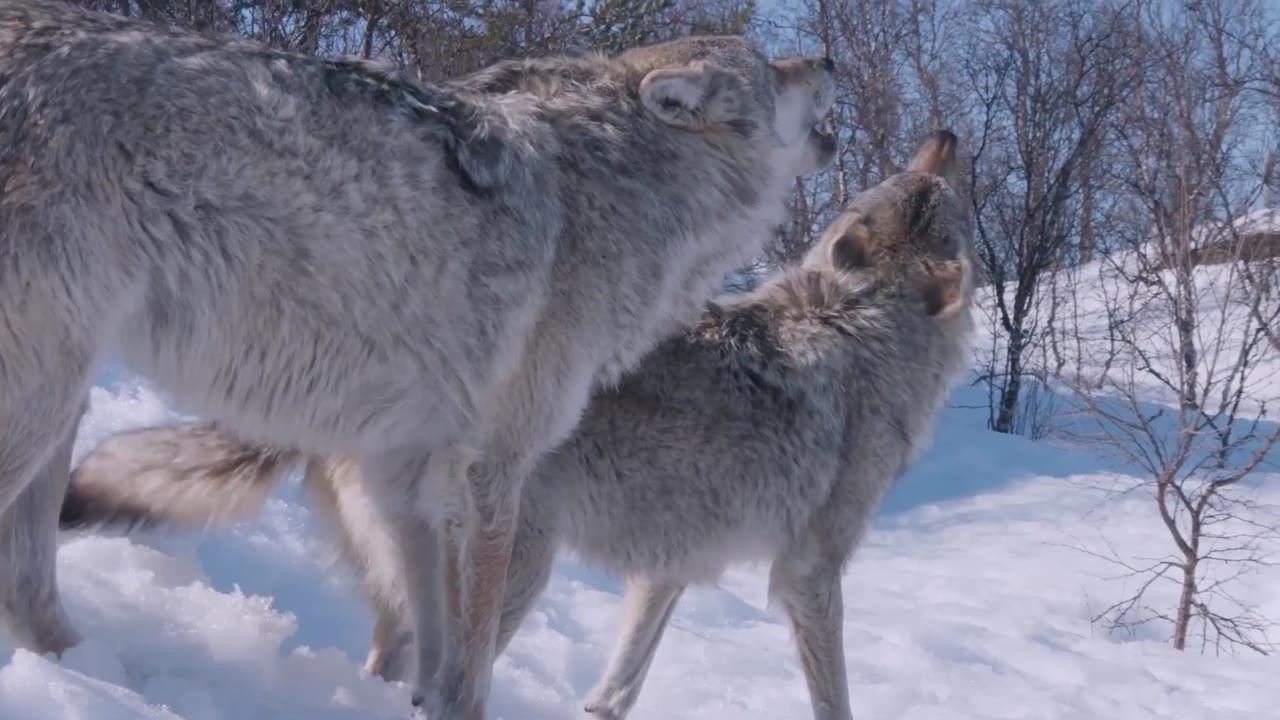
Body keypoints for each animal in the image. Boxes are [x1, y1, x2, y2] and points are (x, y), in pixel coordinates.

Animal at [0, 2, 837, 716]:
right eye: (775, 69)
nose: (826, 55)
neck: (620, 184)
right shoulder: (496, 469)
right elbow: (473, 652)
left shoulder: (403, 469)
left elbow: (428, 641)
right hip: (43, 393)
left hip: (63, 397)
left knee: (25, 580)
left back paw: (98, 675)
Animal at [61, 131, 976, 720]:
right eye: (944, 204)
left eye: (927, 187)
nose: (948, 134)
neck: (856, 333)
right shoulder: (809, 576)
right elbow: (836, 699)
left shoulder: (669, 571)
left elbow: (618, 690)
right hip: (519, 571)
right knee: (431, 690)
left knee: (391, 669)